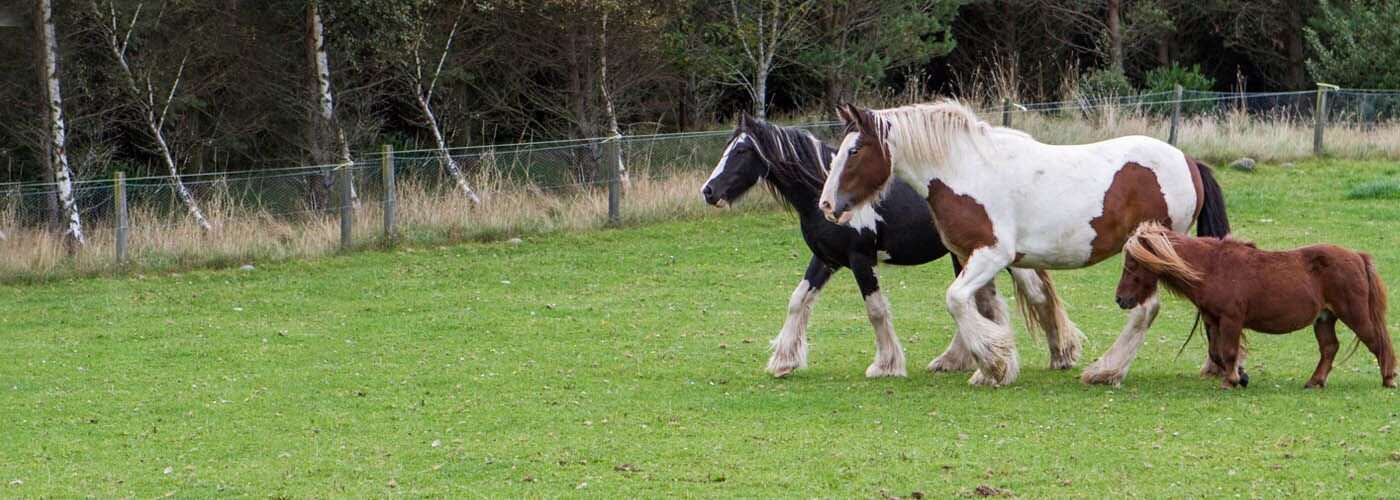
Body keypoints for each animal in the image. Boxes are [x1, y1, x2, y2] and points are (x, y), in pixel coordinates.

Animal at [700, 114, 1080, 375]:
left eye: (742, 150)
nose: (708, 191)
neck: (824, 192)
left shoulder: (860, 258)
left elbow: (876, 310)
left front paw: (886, 364)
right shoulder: (826, 258)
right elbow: (798, 301)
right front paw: (784, 361)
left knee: (1034, 295)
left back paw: (1057, 354)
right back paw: (957, 360)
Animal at [817, 100, 1232, 386]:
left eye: (854, 150)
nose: (827, 205)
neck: (966, 170)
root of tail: (1189, 162)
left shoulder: (991, 254)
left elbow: (956, 300)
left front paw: (993, 362)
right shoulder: (974, 257)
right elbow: (983, 307)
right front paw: (993, 367)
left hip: (1146, 256)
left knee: (1146, 310)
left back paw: (1106, 370)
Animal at [1114, 222, 1400, 389]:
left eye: (1133, 264)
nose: (1121, 299)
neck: (1212, 267)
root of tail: (1358, 257)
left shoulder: (1231, 320)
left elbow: (1229, 352)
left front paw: (1231, 381)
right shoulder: (1214, 320)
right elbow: (1217, 353)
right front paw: (1239, 376)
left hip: (1354, 315)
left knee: (1377, 341)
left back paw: (1388, 379)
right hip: (1324, 318)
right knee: (1330, 348)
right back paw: (1315, 381)